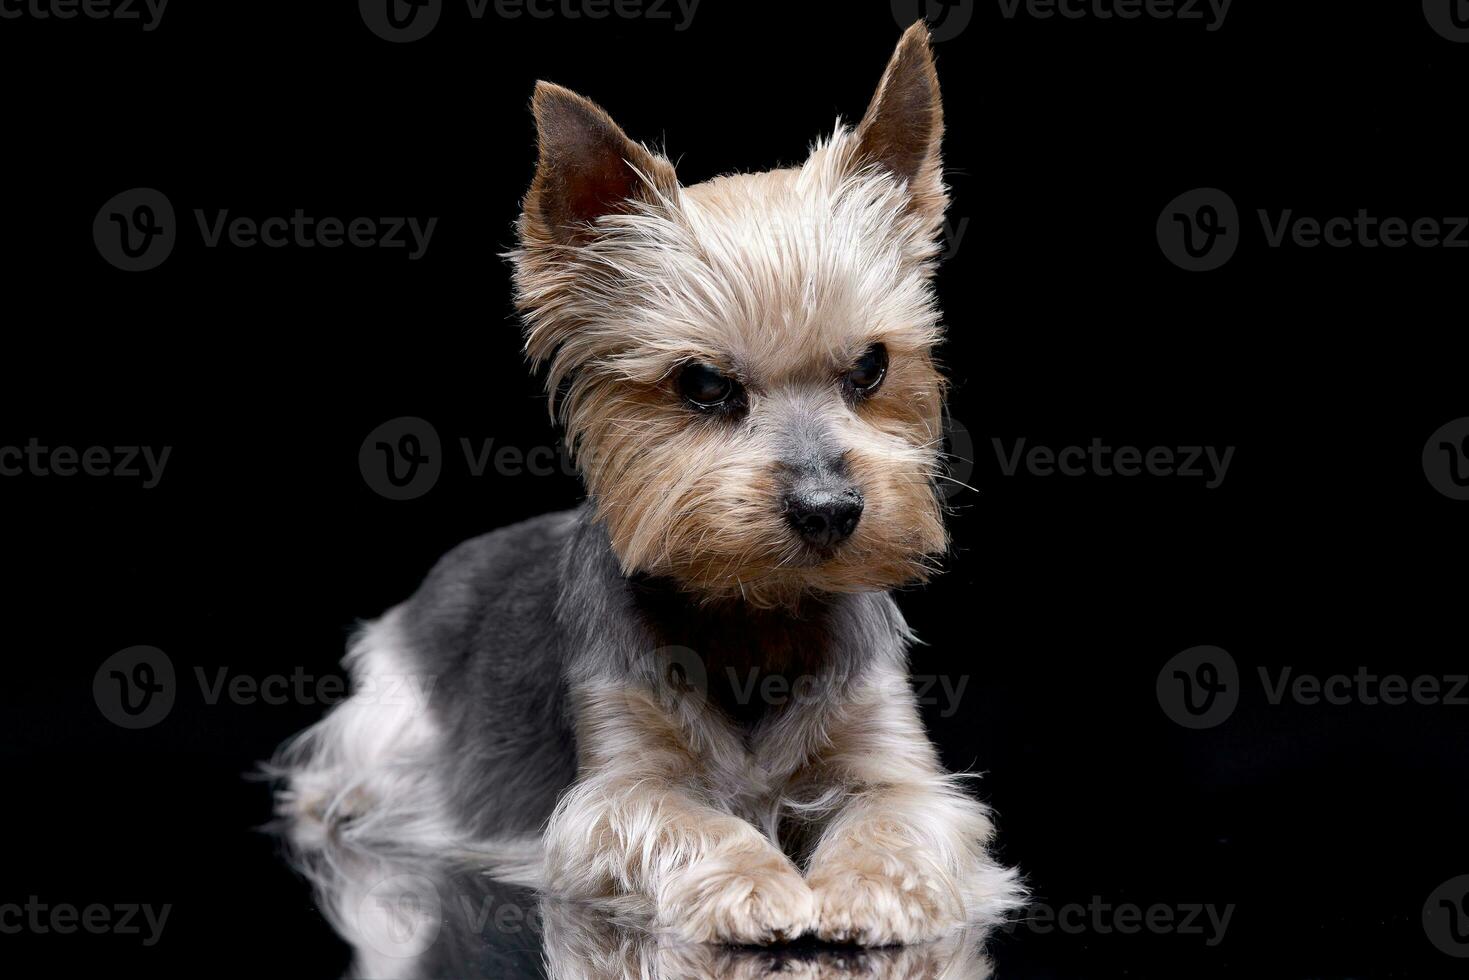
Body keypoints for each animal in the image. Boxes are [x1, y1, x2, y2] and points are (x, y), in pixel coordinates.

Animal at [277, 22, 1034, 946]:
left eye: (870, 367)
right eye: (702, 384)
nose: (829, 510)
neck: (752, 618)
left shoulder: (895, 758)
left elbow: (898, 813)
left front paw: (869, 886)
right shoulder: (614, 782)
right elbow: (675, 816)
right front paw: (756, 881)